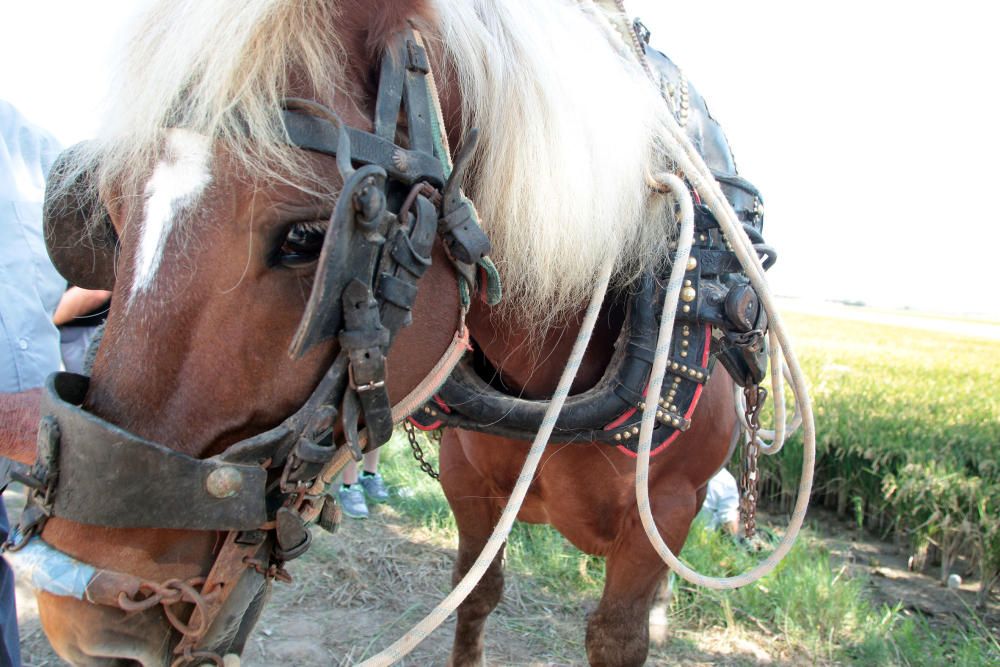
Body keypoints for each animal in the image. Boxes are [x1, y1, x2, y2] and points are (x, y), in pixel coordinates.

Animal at [17, 1, 744, 667]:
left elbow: (617, 635)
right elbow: (475, 593)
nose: (82, 624)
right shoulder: (467, 483)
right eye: (108, 213)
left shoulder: (664, 513)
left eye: (309, 237)